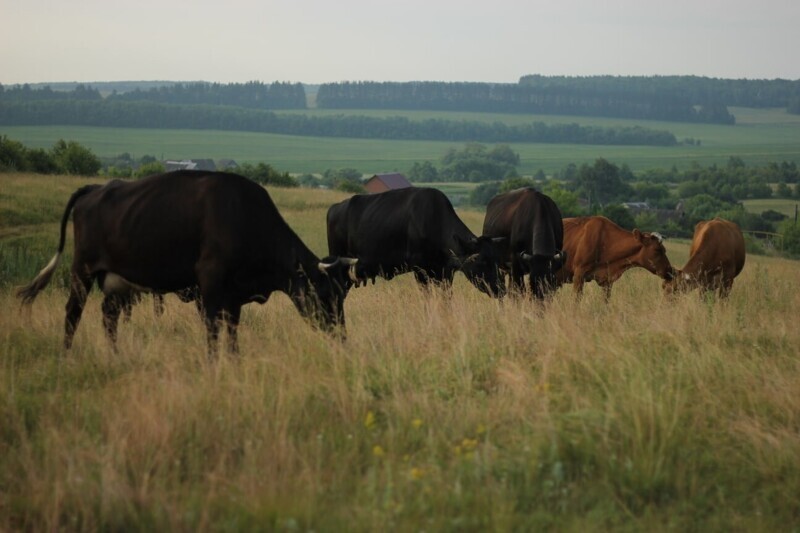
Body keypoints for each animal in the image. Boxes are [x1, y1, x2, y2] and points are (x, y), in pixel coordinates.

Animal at [14, 170, 360, 354]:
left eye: (342, 295)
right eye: (326, 294)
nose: (342, 338)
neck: (244, 216)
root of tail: (96, 187)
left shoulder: (234, 294)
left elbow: (232, 332)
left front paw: (233, 363)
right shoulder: (209, 283)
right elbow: (212, 329)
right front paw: (213, 365)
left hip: (116, 282)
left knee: (108, 317)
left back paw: (114, 354)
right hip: (82, 270)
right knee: (73, 313)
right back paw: (66, 355)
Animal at [326, 186, 506, 296]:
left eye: (496, 260)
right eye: (482, 261)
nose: (501, 289)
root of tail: (334, 208)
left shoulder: (445, 273)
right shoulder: (420, 270)